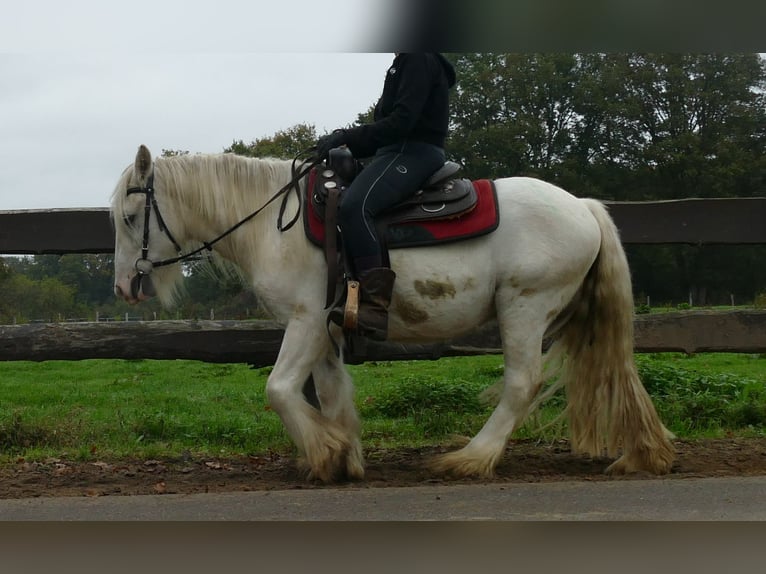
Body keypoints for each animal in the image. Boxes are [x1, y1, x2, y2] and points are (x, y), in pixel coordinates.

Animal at [111, 144, 675, 482]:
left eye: (132, 216)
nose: (124, 287)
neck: (274, 223)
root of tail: (584, 207)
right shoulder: (324, 330)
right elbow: (332, 393)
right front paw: (343, 456)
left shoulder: (306, 320)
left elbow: (279, 389)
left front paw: (324, 452)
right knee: (614, 371)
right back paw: (642, 452)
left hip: (525, 307)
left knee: (522, 383)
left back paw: (471, 458)